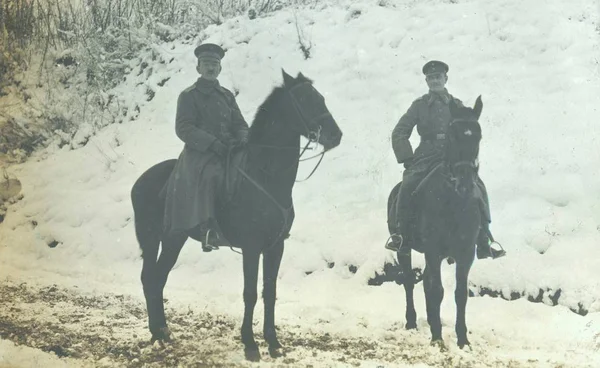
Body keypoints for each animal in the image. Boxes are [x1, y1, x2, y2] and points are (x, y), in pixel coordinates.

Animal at [131, 70, 342, 360]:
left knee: (158, 278)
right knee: (150, 278)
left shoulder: (276, 246)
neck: (265, 176)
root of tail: (140, 181)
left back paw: (162, 332)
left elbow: (270, 292)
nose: (336, 136)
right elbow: (250, 293)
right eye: (304, 99)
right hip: (154, 239)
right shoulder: (251, 247)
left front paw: (273, 343)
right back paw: (157, 334)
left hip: (174, 240)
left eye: (320, 97)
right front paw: (250, 345)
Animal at [390, 96, 482, 350]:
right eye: (452, 135)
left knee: (425, 282)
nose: (464, 182)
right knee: (410, 282)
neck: (454, 202)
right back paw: (412, 322)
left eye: (478, 136)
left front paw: (463, 339)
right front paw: (438, 337)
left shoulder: (466, 253)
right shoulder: (432, 250)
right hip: (403, 249)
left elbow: (460, 294)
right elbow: (438, 290)